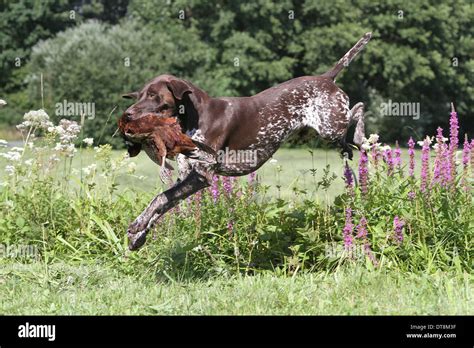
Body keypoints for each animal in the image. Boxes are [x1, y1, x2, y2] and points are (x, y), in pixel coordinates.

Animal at [120, 32, 372, 250]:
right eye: (140, 95)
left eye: (153, 95)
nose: (128, 115)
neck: (193, 116)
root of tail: (326, 78)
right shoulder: (185, 175)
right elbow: (163, 204)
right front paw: (139, 234)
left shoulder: (201, 174)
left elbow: (161, 198)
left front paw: (138, 225)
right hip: (316, 132)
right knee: (348, 131)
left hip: (330, 125)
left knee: (359, 108)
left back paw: (363, 140)